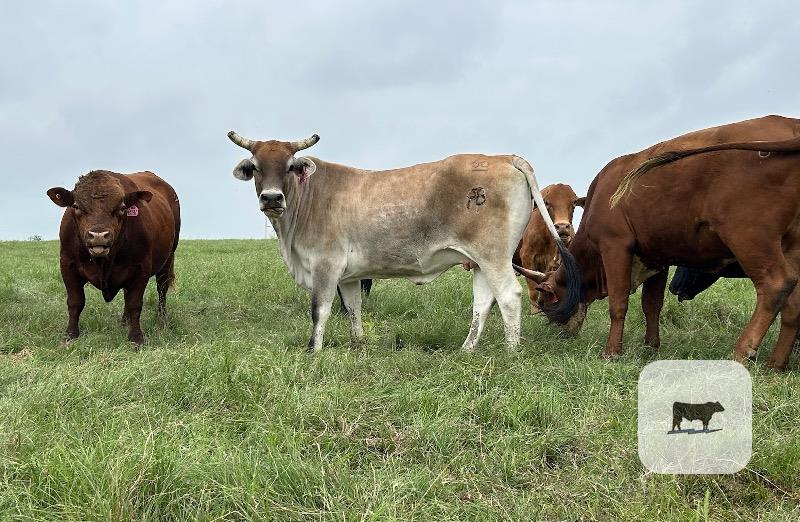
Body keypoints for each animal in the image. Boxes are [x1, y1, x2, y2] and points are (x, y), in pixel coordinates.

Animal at [47, 171, 181, 344]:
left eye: (122, 208)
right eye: (76, 206)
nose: (98, 236)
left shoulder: (141, 267)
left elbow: (135, 303)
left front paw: (136, 337)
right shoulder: (67, 264)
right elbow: (75, 301)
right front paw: (70, 334)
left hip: (168, 257)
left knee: (162, 287)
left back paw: (162, 318)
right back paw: (125, 321)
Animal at [514, 184, 584, 315]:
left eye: (574, 202)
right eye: (546, 203)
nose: (562, 227)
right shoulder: (527, 257)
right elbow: (533, 290)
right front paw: (534, 313)